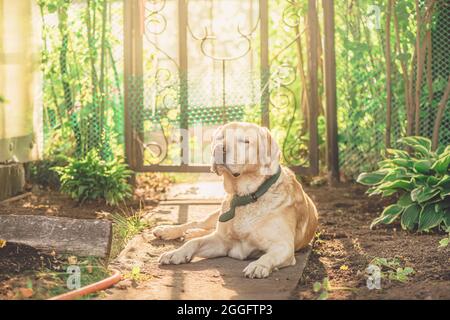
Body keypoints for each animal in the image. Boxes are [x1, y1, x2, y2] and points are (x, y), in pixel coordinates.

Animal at [153, 122, 318, 278]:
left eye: (245, 141)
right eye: (219, 138)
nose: (219, 149)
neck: (246, 197)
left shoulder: (284, 246)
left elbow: (268, 256)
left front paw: (259, 265)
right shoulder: (221, 241)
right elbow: (194, 243)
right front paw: (176, 253)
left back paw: (192, 232)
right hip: (216, 214)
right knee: (197, 223)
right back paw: (168, 230)